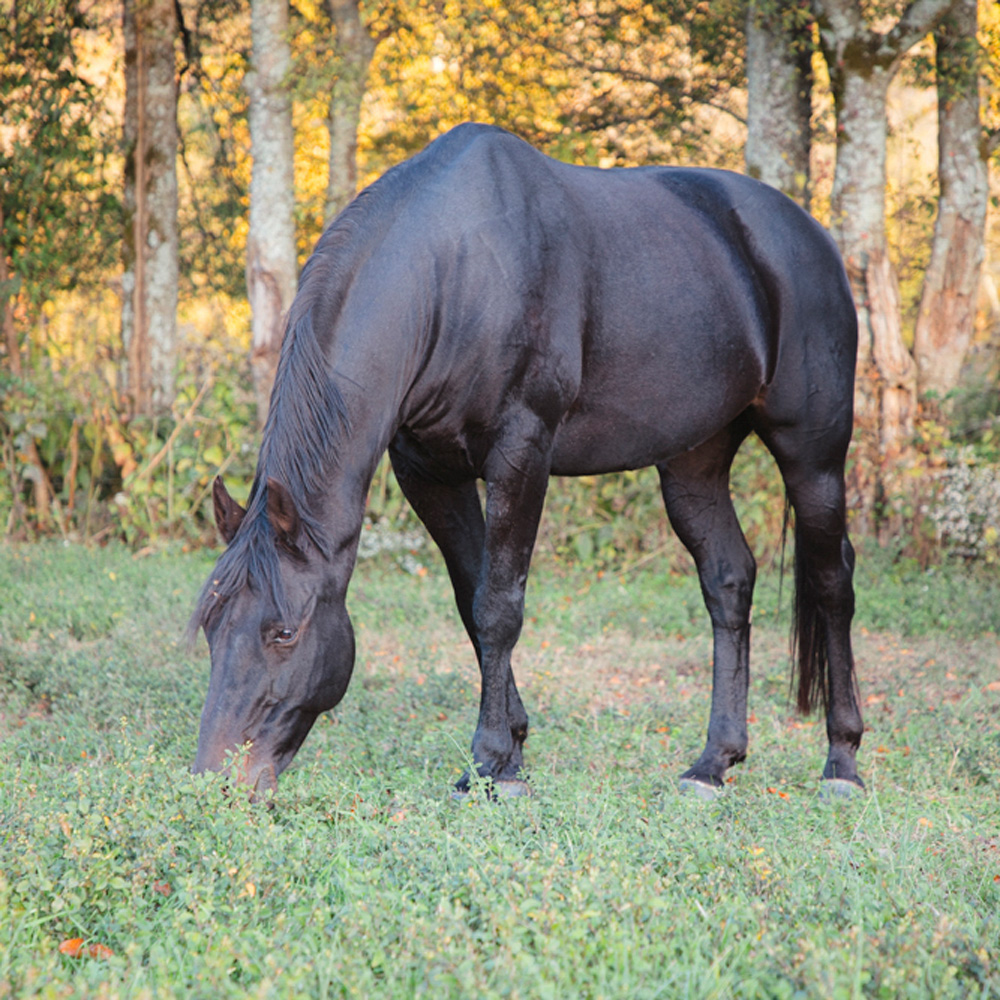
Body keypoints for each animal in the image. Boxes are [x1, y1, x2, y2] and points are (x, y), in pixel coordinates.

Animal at [191, 121, 864, 800]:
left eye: (284, 632)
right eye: (211, 625)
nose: (216, 780)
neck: (455, 276)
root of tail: (810, 236)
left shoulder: (522, 454)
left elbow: (499, 607)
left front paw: (489, 762)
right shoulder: (429, 471)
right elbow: (472, 599)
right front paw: (511, 756)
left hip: (813, 453)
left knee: (832, 580)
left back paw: (843, 761)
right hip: (693, 463)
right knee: (728, 580)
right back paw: (713, 763)